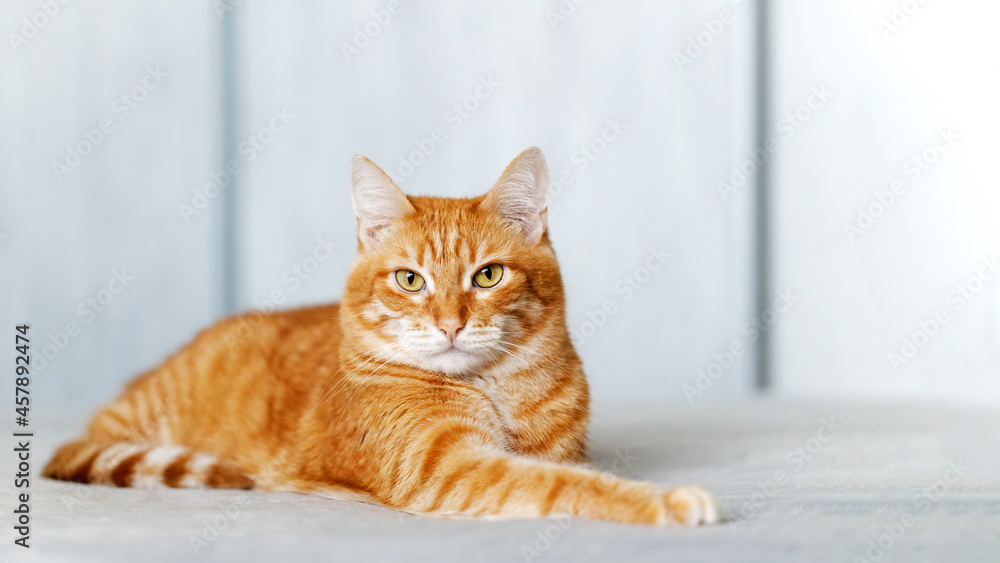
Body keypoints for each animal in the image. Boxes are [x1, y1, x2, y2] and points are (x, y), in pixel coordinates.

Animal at [45, 148, 720, 528]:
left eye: (488, 275)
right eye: (410, 279)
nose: (451, 323)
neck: (497, 389)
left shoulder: (553, 451)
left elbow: (566, 472)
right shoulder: (448, 467)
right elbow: (565, 486)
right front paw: (667, 502)